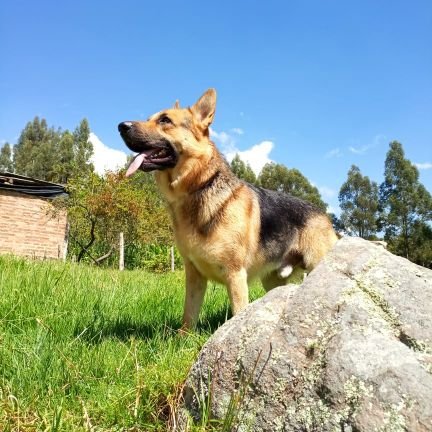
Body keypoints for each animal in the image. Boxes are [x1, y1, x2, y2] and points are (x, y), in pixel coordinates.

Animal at [118, 88, 338, 330]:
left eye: (165, 120)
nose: (121, 126)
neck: (200, 187)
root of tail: (324, 215)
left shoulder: (236, 276)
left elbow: (238, 315)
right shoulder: (194, 277)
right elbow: (188, 316)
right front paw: (184, 336)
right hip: (272, 282)